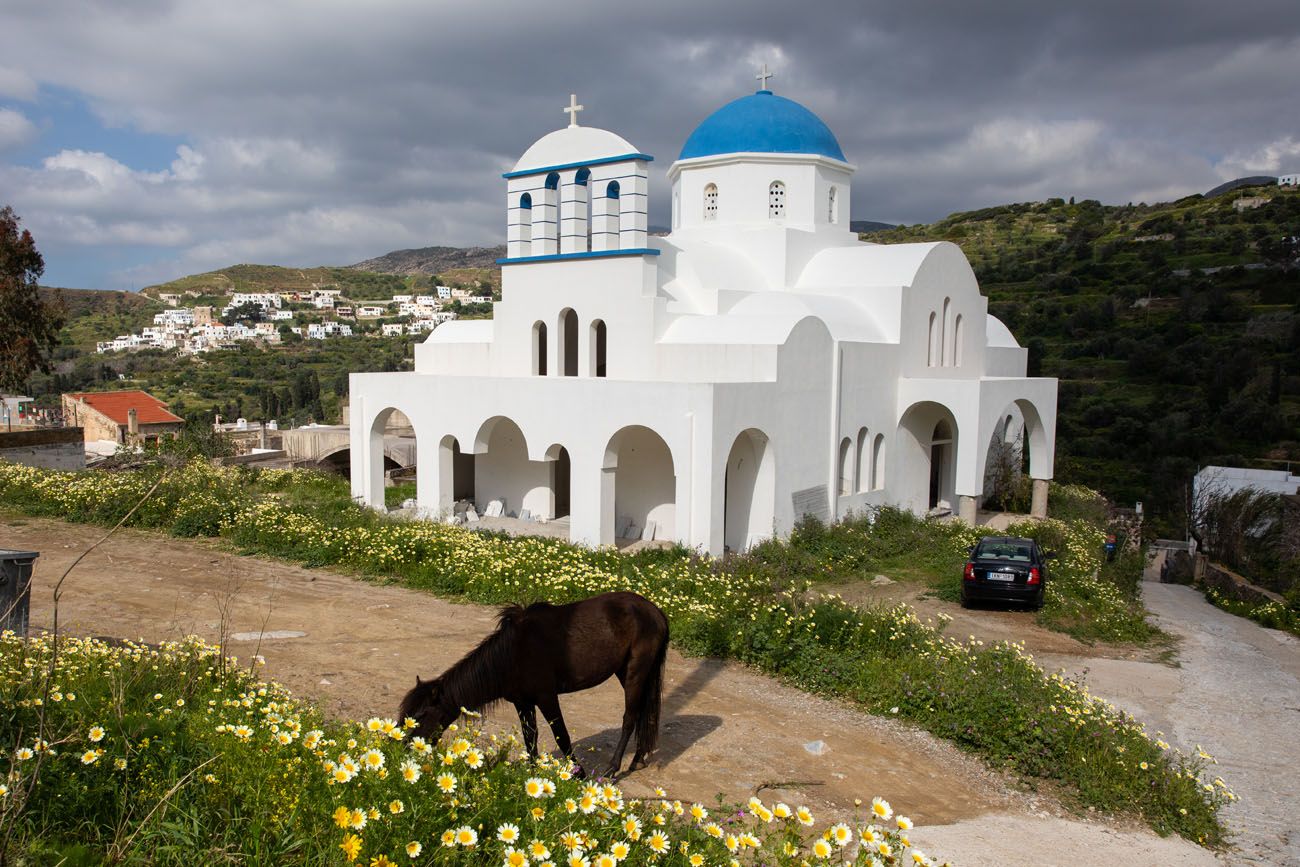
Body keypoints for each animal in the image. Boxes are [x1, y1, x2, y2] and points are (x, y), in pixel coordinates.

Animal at [397, 590, 670, 779]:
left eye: (420, 716)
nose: (401, 747)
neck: (512, 656)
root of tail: (655, 611)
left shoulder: (546, 697)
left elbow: (561, 736)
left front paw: (578, 774)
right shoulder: (523, 702)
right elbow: (531, 739)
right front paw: (531, 776)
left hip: (636, 671)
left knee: (630, 717)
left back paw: (613, 768)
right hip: (627, 672)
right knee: (645, 713)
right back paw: (637, 758)